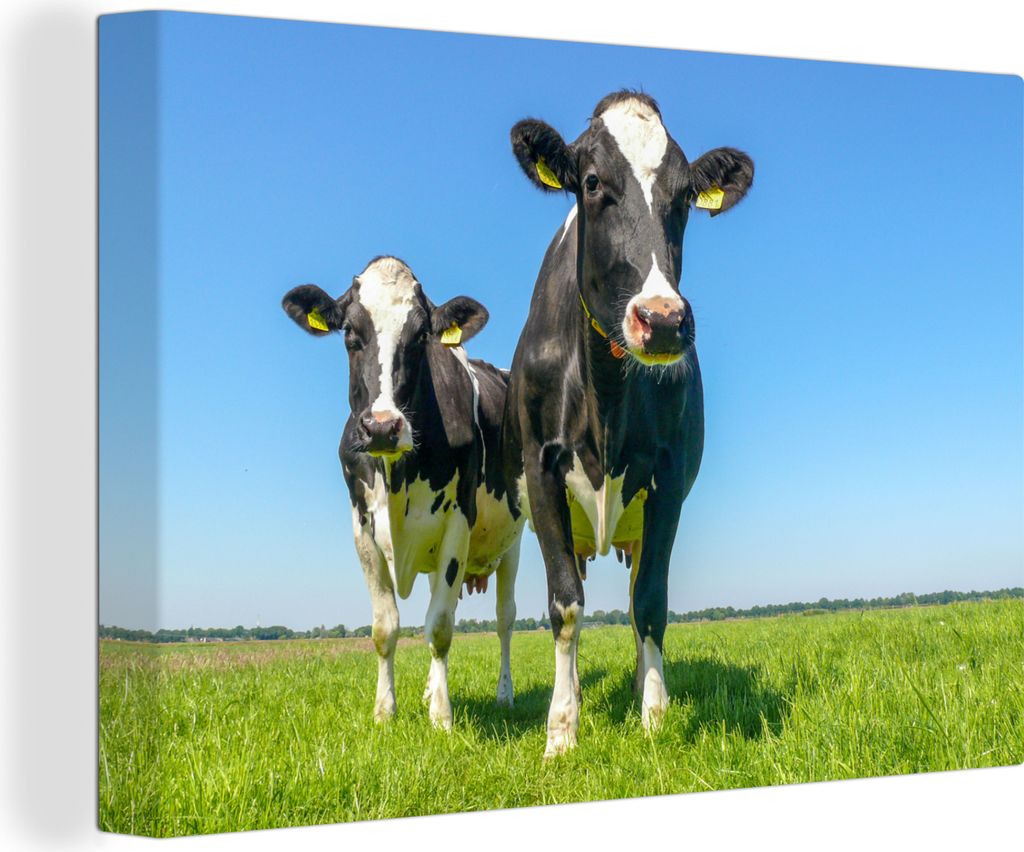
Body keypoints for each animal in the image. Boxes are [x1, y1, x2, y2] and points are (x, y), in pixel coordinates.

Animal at [282, 256, 525, 729]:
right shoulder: (362, 529)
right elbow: (385, 627)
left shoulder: (457, 524)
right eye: (350, 333)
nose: (381, 426)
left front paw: (442, 717)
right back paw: (430, 688)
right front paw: (384, 711)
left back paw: (503, 694)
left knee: (505, 620)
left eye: (420, 337)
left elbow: (442, 626)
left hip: (515, 541)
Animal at [502, 91, 753, 757]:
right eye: (592, 183)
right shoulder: (542, 472)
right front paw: (561, 730)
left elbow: (651, 602)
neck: (606, 396)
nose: (661, 320)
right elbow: (565, 604)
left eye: (686, 195)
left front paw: (655, 717)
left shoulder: (667, 480)